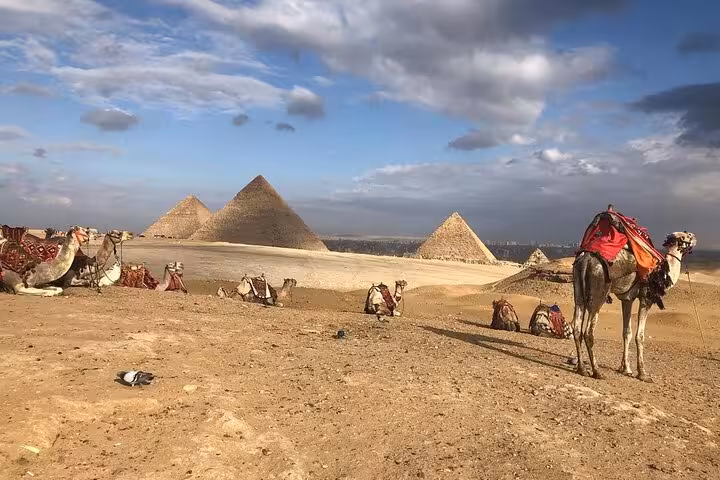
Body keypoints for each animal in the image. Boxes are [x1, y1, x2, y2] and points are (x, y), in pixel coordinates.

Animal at [572, 230, 696, 381]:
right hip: (598, 292)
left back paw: (582, 369)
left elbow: (627, 332)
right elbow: (639, 336)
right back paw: (597, 372)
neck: (661, 273)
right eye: (685, 236)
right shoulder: (646, 298)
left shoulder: (627, 299)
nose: (694, 238)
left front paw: (625, 369)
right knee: (588, 332)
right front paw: (642, 373)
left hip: (578, 289)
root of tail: (585, 261)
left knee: (576, 328)